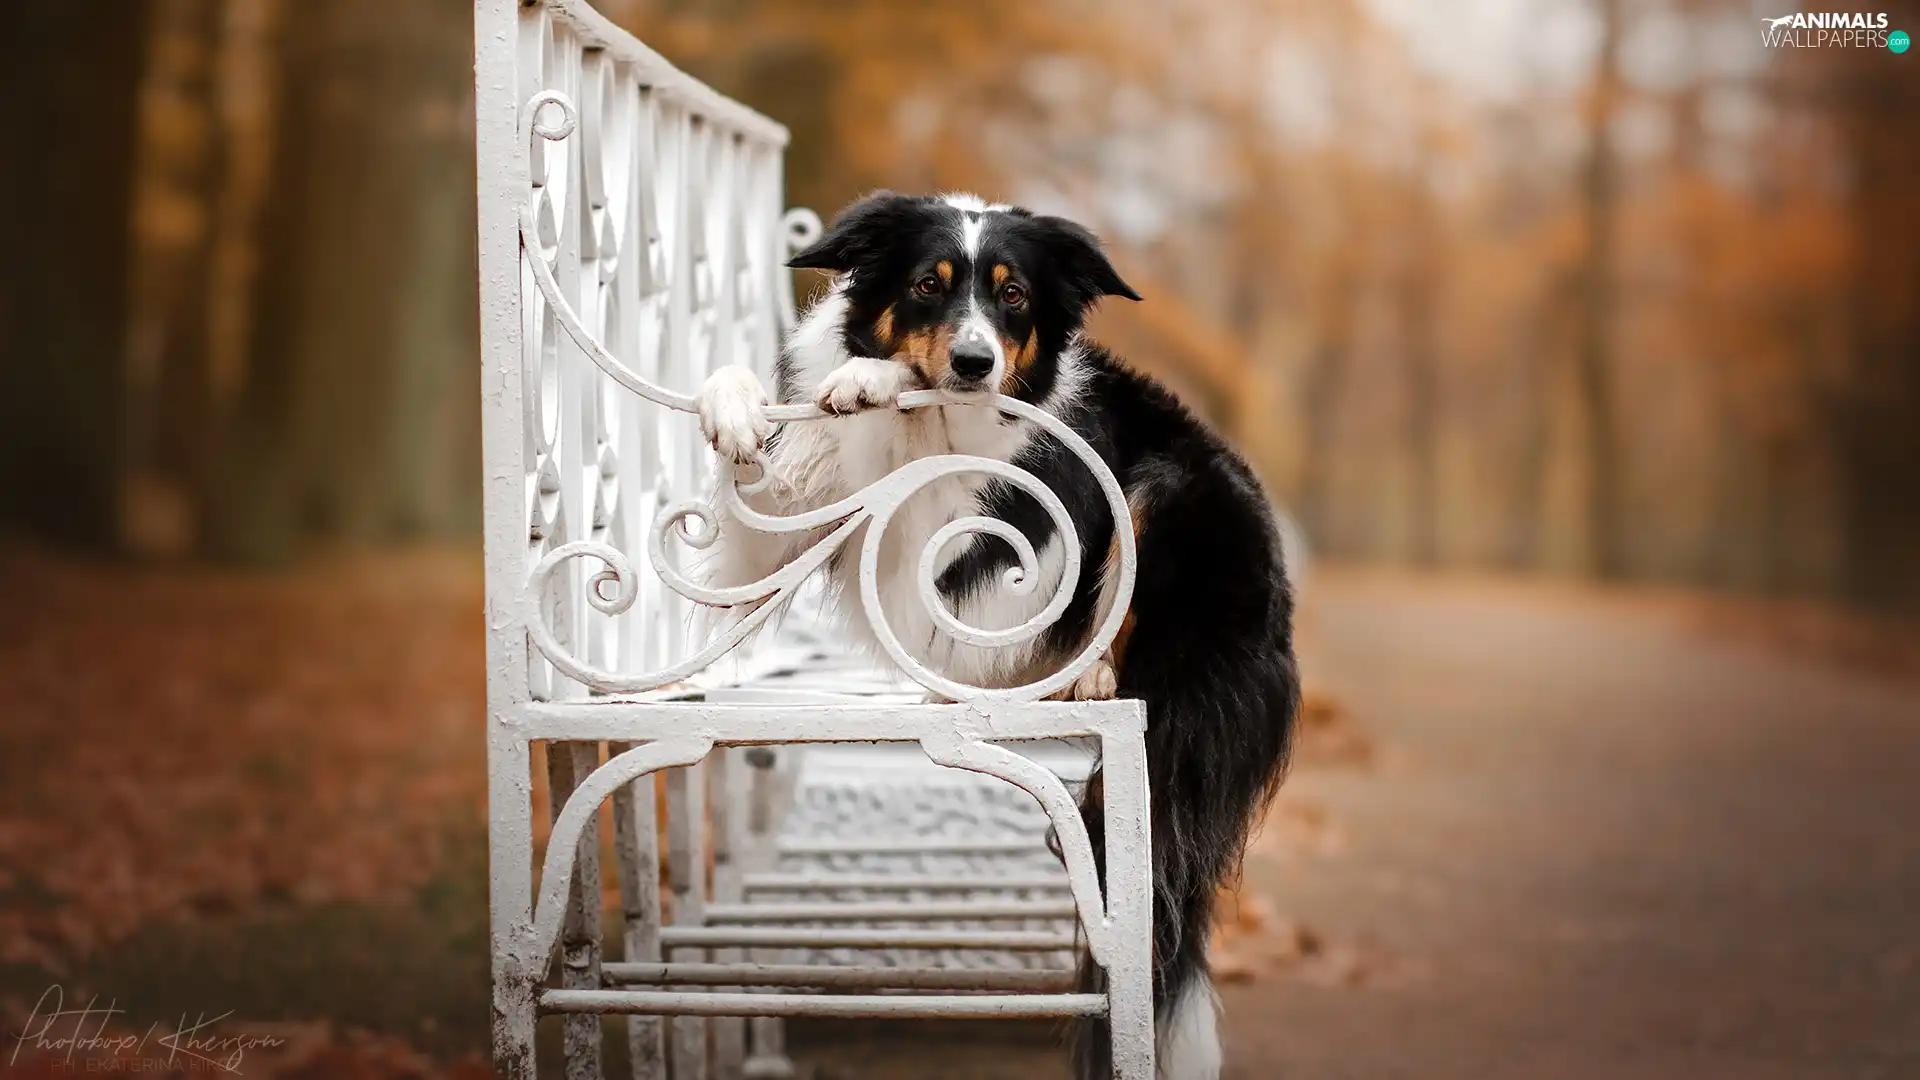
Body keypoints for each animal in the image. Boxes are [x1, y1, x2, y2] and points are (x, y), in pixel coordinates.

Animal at [698, 193, 1297, 1076]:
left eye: (1013, 296)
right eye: (926, 284)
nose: (975, 362)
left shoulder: (957, 546)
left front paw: (872, 380)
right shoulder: (779, 533)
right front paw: (734, 404)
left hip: (1173, 490)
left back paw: (1088, 678)